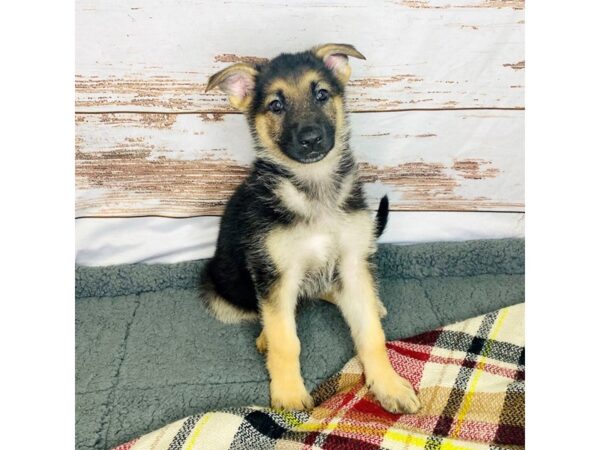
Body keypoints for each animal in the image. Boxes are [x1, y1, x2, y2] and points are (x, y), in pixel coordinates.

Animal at [204, 44, 420, 414]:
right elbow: (286, 340)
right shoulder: (276, 274)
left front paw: (388, 384)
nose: (311, 139)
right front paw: (289, 394)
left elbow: (371, 335)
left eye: (321, 94)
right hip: (226, 289)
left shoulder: (352, 261)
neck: (313, 189)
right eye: (276, 105)